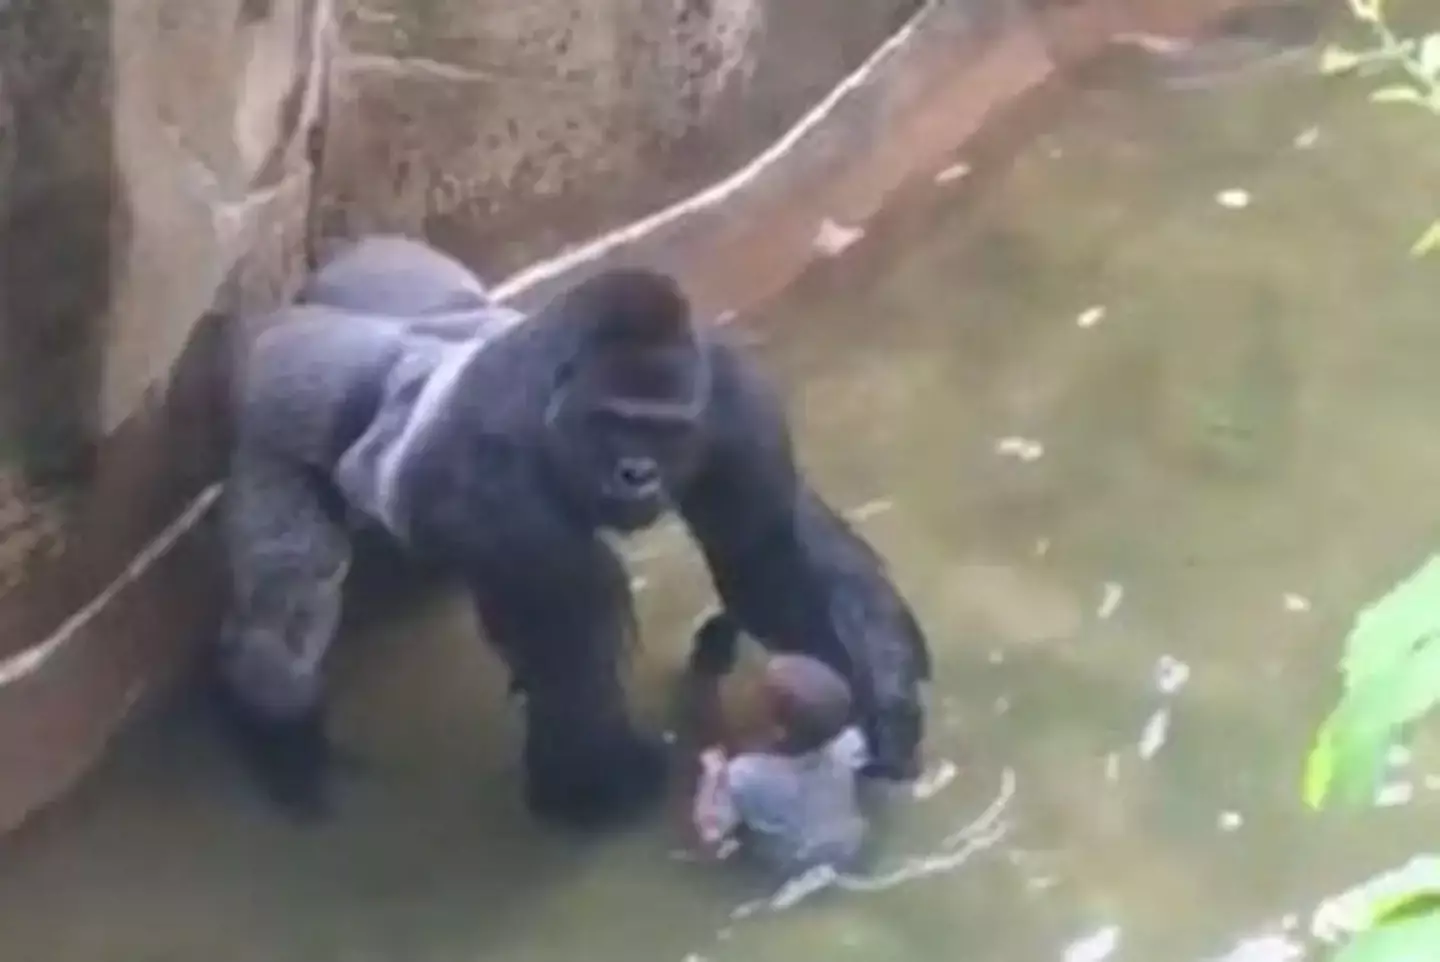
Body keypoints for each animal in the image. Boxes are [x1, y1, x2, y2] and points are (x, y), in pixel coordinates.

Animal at [213, 233, 933, 829]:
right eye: (613, 421)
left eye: (665, 428)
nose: (637, 474)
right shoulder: (494, 463)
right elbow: (571, 646)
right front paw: (601, 788)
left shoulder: (733, 400)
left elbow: (766, 556)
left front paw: (887, 706)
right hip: (280, 391)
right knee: (288, 608)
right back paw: (277, 731)